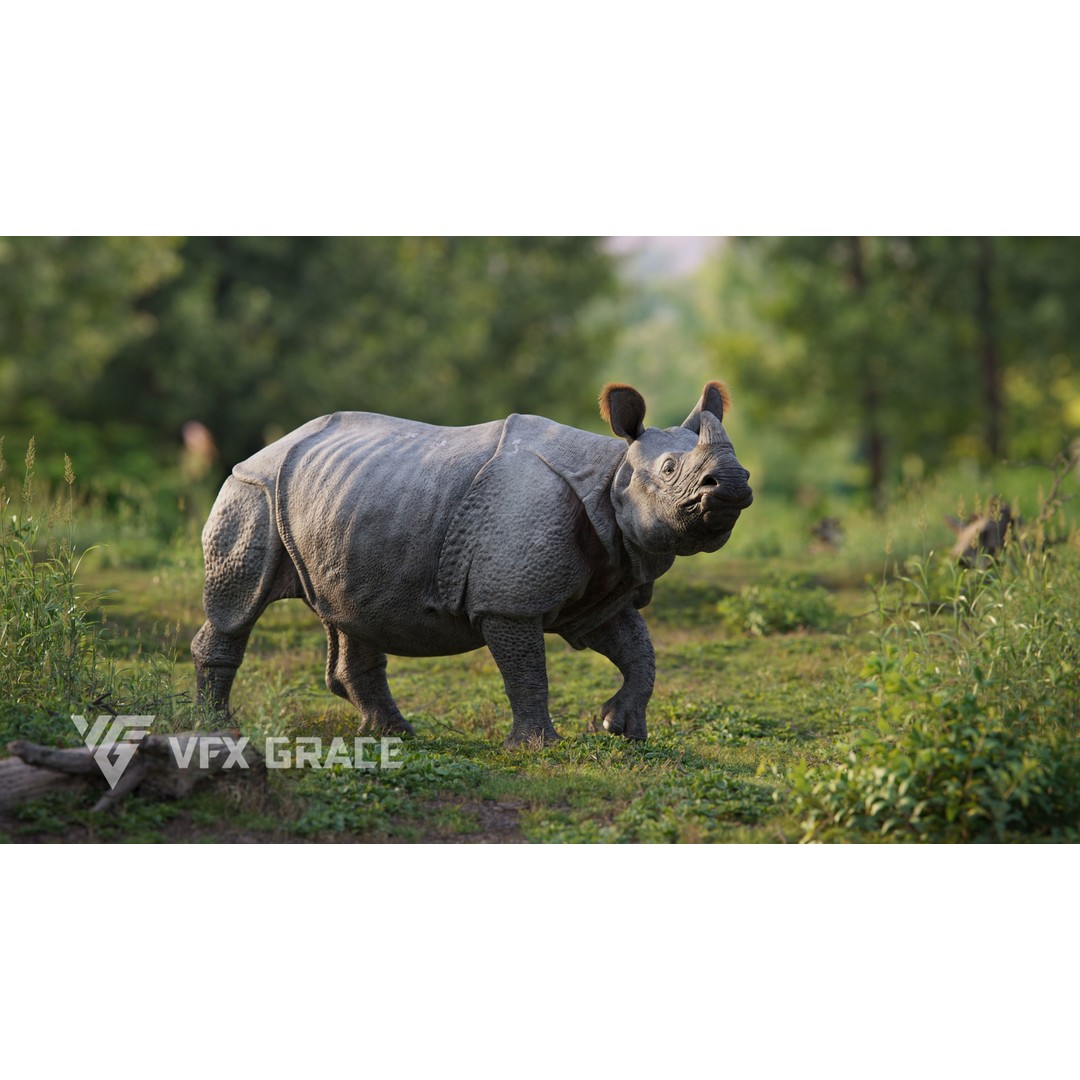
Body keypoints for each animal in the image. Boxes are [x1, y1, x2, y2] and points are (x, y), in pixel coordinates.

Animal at [192, 382, 753, 747]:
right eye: (670, 469)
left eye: (738, 464)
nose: (733, 482)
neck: (612, 474)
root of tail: (271, 446)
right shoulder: (509, 600)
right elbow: (527, 669)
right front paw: (539, 748)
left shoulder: (603, 581)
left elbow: (639, 650)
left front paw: (621, 730)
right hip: (252, 490)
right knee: (238, 604)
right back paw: (216, 731)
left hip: (347, 501)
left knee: (346, 609)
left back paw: (395, 734)